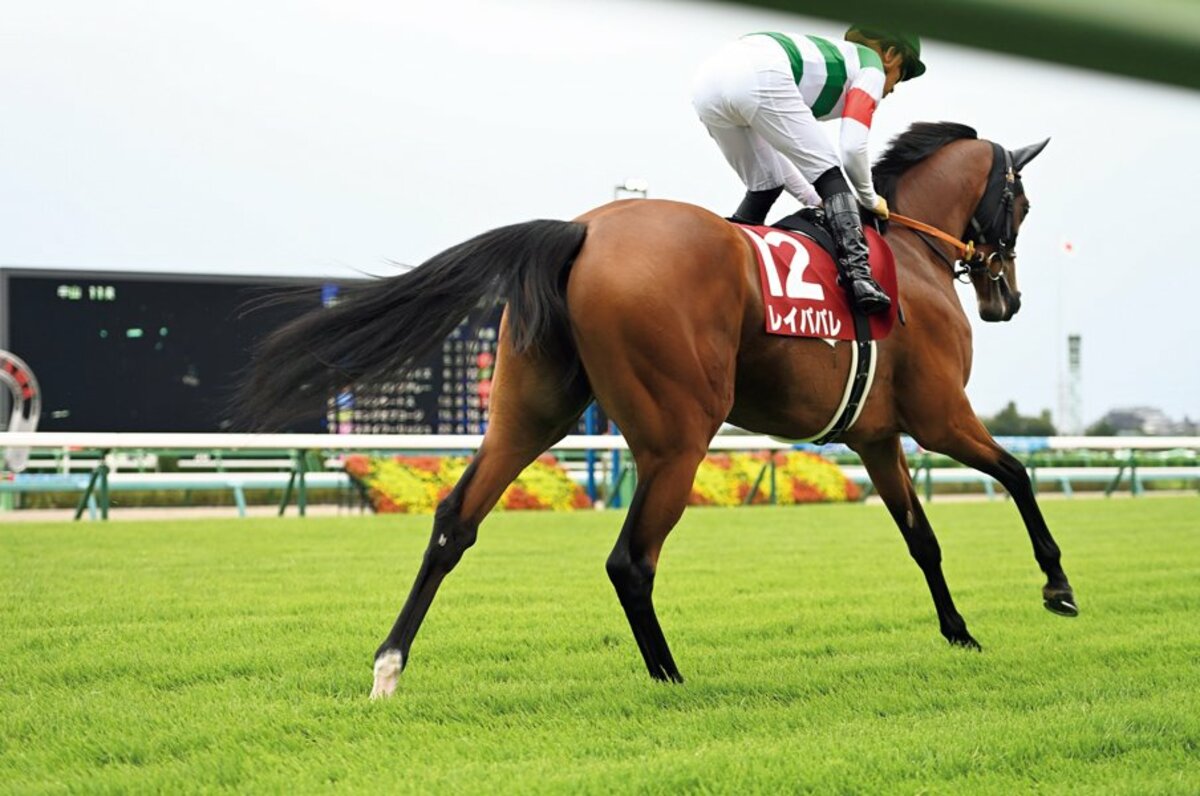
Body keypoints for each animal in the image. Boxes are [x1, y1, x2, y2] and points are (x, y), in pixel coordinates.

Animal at [241, 120, 1080, 696]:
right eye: (1023, 202)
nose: (1005, 296)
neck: (908, 251)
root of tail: (580, 230)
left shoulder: (875, 437)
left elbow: (922, 539)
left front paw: (960, 633)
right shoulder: (940, 418)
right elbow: (1016, 475)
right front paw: (1057, 587)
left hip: (529, 411)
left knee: (455, 521)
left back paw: (389, 666)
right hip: (680, 435)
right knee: (630, 559)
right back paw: (671, 676)